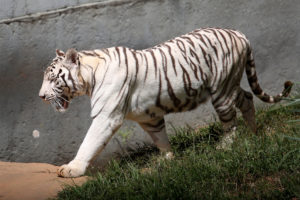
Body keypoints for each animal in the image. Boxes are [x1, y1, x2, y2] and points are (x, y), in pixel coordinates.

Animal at [38, 27, 292, 177]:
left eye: (52, 78)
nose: (40, 96)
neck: (90, 76)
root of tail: (240, 34)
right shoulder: (148, 117)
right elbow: (160, 138)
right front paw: (169, 159)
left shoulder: (106, 116)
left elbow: (89, 142)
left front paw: (72, 168)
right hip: (229, 84)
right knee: (247, 98)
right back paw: (254, 133)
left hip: (221, 88)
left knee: (230, 121)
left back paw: (227, 145)